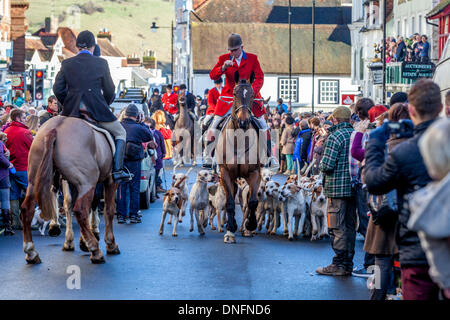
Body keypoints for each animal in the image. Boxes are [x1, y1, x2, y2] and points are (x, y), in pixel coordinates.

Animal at [20, 116, 119, 264]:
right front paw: (109, 243)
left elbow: (69, 203)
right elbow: (108, 210)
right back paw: (95, 250)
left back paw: (31, 251)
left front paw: (75, 241)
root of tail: (55, 128)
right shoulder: (110, 180)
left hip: (34, 181)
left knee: (27, 209)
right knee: (81, 210)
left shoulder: (67, 182)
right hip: (87, 183)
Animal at [215, 71, 264, 244]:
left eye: (252, 94)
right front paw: (230, 231)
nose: (243, 121)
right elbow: (230, 202)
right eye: (235, 93)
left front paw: (250, 225)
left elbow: (253, 201)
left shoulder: (255, 173)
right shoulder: (225, 173)